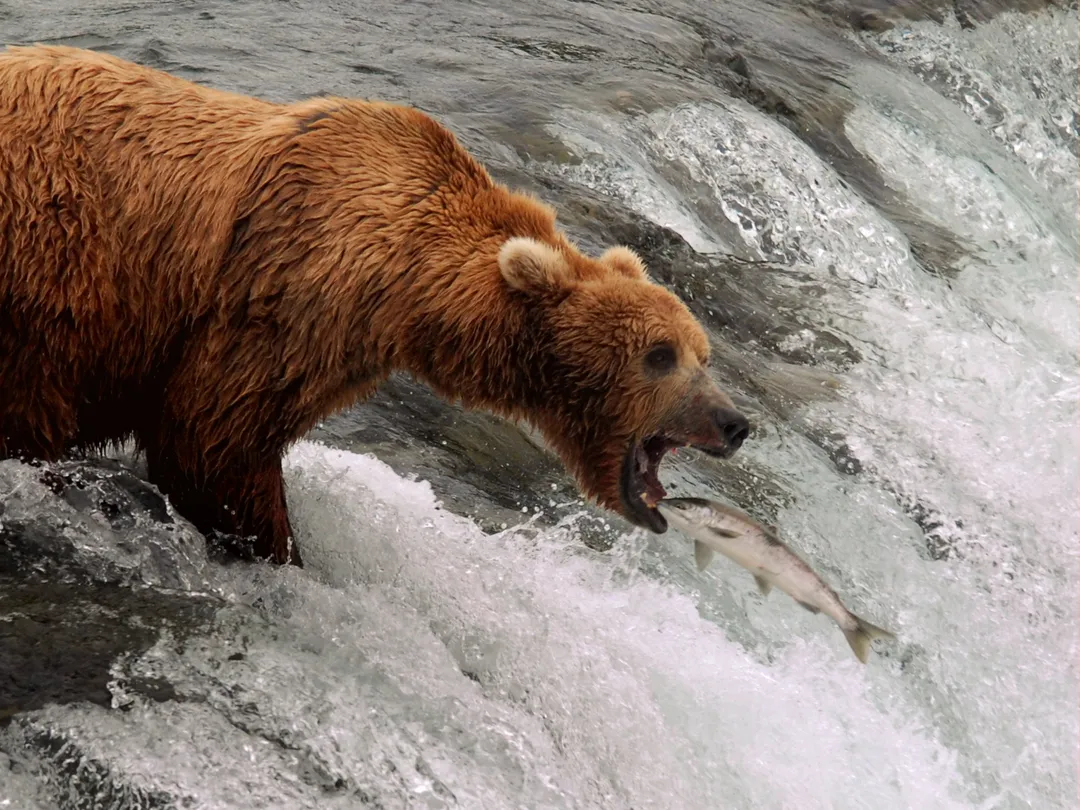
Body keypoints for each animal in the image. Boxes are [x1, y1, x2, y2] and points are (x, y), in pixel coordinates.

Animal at [0, 44, 750, 567]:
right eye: (660, 355)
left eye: (702, 352)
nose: (734, 422)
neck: (408, 286)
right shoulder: (280, 288)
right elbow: (210, 436)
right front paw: (278, 549)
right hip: (50, 242)